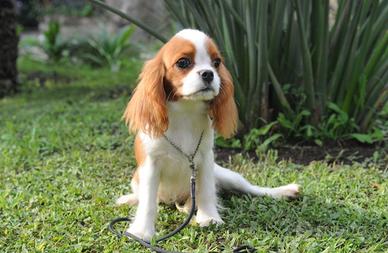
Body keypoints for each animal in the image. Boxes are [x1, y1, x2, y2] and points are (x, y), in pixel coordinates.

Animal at [116, 28, 298, 240]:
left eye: (216, 62)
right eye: (183, 62)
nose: (208, 73)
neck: (186, 112)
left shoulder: (204, 159)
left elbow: (206, 191)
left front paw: (209, 218)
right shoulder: (151, 164)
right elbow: (147, 203)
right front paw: (142, 231)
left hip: (227, 175)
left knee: (251, 188)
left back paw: (283, 191)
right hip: (136, 180)